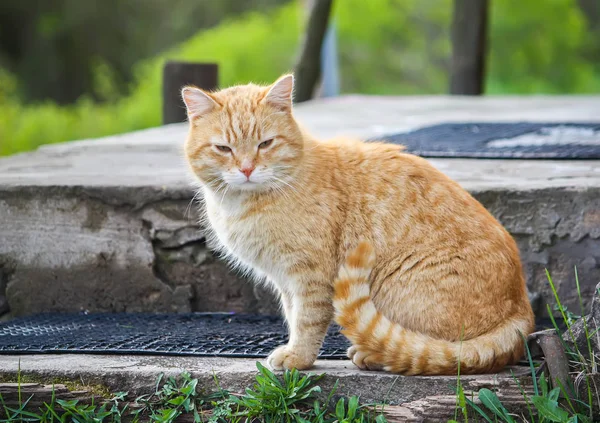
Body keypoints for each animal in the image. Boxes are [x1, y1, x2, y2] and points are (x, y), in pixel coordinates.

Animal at [183, 74, 536, 376]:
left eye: (265, 144)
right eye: (223, 148)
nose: (246, 169)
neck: (243, 205)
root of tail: (521, 311)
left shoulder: (310, 275)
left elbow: (306, 321)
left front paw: (298, 357)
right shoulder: (285, 279)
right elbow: (292, 315)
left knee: (425, 349)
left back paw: (370, 354)